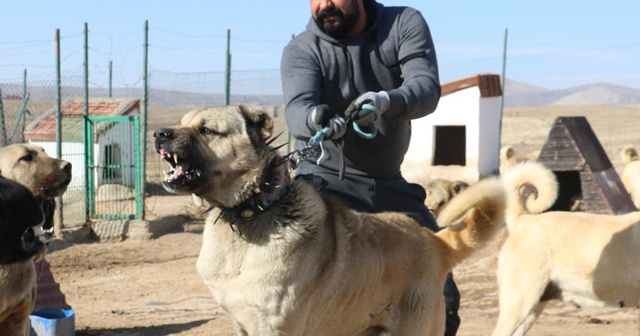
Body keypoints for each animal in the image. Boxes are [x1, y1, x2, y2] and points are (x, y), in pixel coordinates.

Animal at [154, 105, 504, 336]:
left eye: (206, 130)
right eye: (181, 123)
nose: (159, 133)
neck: (252, 210)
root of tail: (432, 240)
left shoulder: (275, 328)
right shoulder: (240, 324)